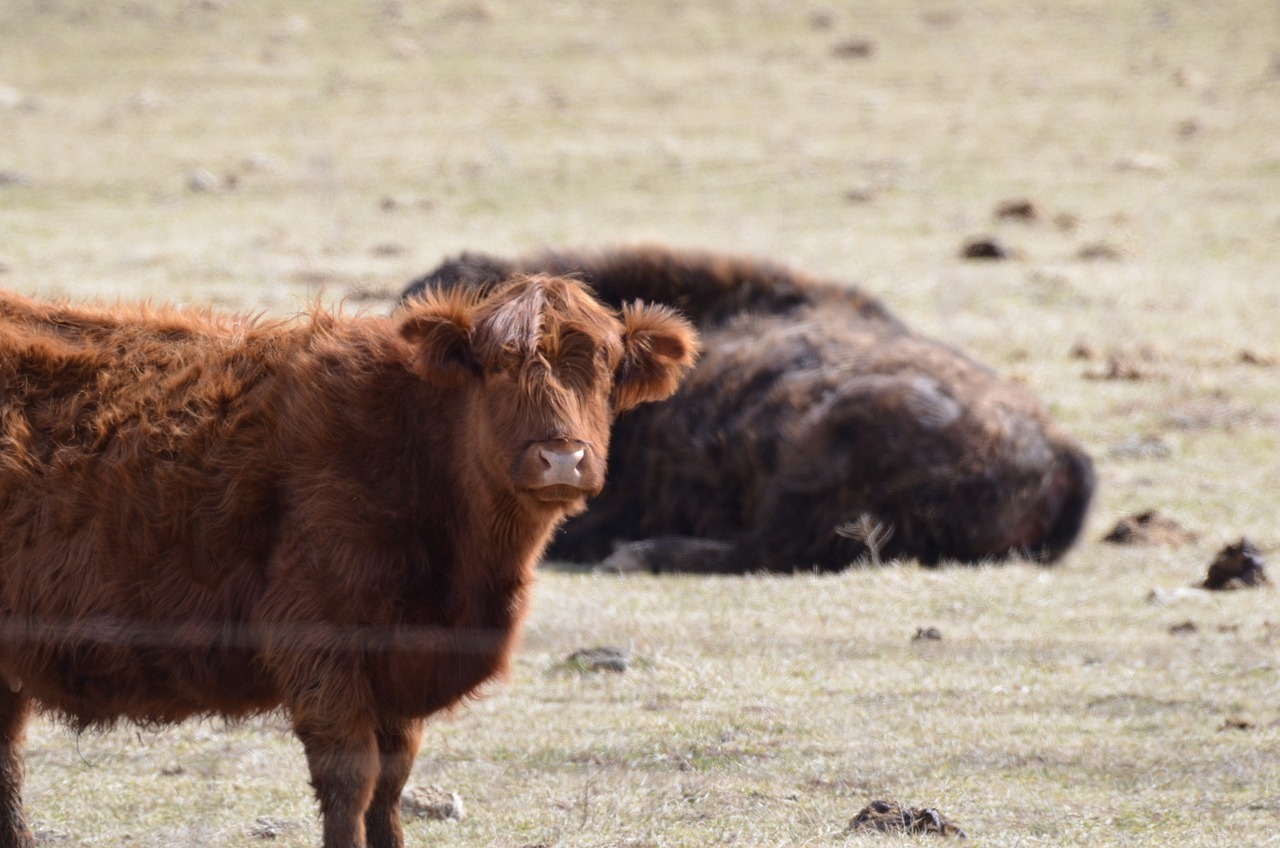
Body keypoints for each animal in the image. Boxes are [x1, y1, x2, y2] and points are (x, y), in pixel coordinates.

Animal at [0, 275, 701, 845]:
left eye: (606, 366)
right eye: (500, 366)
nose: (561, 457)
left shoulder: (398, 670)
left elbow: (391, 786)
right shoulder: (321, 647)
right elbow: (351, 784)